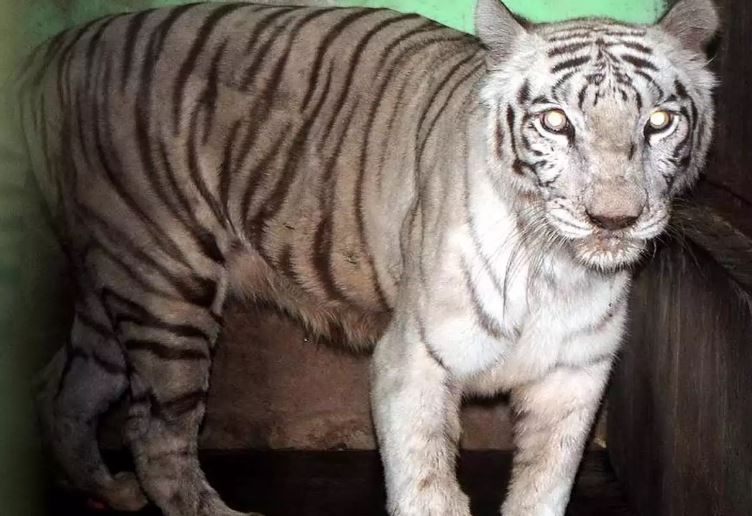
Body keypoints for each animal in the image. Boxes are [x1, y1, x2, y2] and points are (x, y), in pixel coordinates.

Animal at [15, 0, 718, 514]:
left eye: (659, 122)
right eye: (554, 123)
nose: (614, 220)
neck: (556, 269)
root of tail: (52, 51)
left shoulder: (575, 374)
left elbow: (544, 487)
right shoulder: (413, 362)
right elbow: (429, 491)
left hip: (118, 280)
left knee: (60, 387)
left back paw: (107, 491)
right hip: (166, 282)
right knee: (154, 432)